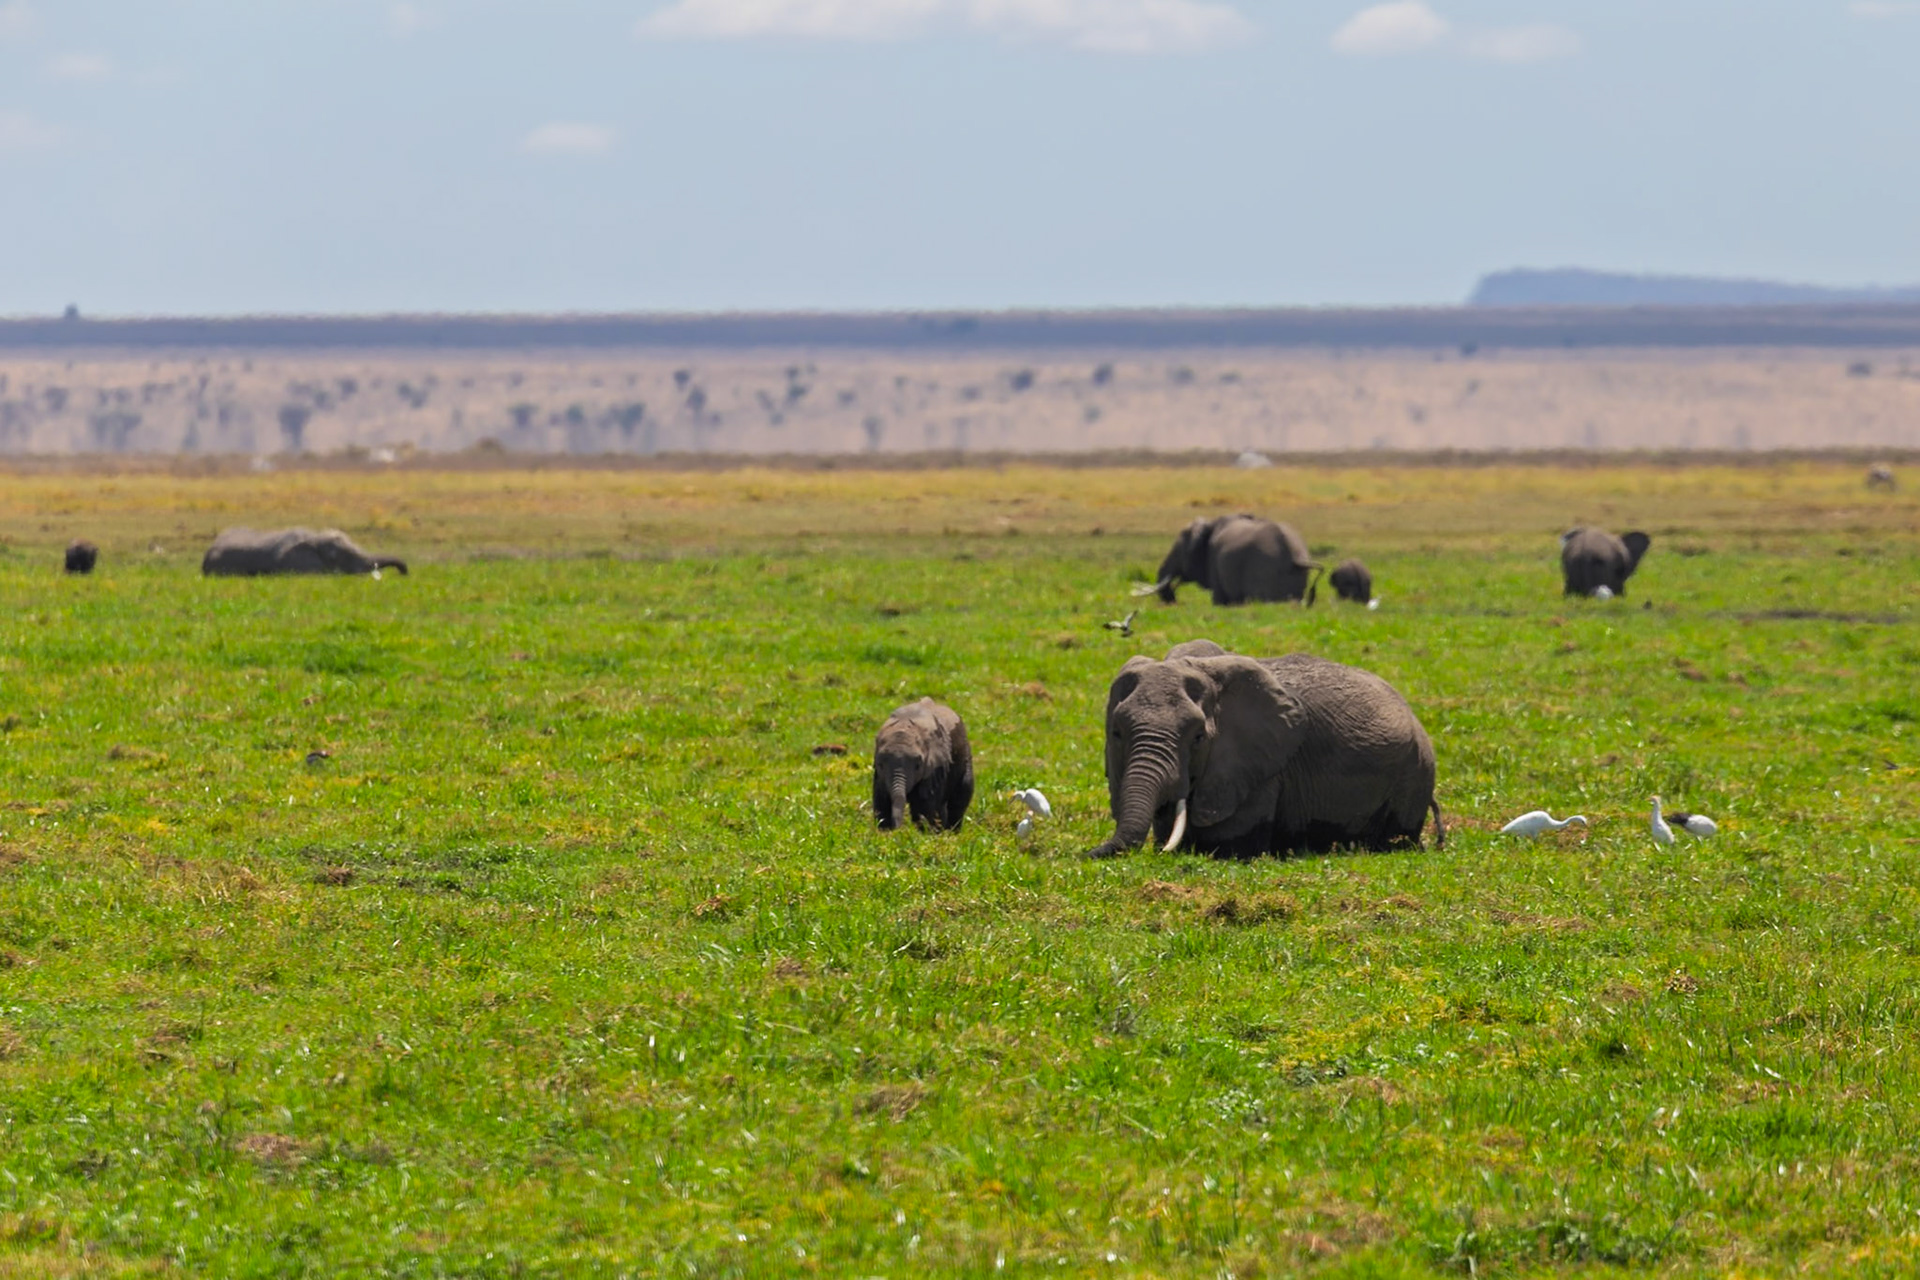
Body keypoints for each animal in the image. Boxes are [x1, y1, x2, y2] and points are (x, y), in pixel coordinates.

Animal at [872, 698, 974, 832]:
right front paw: (885, 832)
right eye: (880, 765)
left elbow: (924, 806)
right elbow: (881, 801)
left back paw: (950, 832)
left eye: (918, 765)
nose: (898, 829)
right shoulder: (879, 777)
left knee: (958, 800)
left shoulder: (935, 768)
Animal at [1088, 640, 1441, 859]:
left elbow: (1230, 842)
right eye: (1117, 733)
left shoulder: (1255, 768)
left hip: (1414, 773)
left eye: (1198, 737)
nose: (1087, 854)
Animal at [1135, 515, 1321, 607]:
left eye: (1178, 551)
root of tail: (1295, 556)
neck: (1210, 525)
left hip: (1266, 571)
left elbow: (1219, 600)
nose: (1172, 599)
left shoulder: (1215, 560)